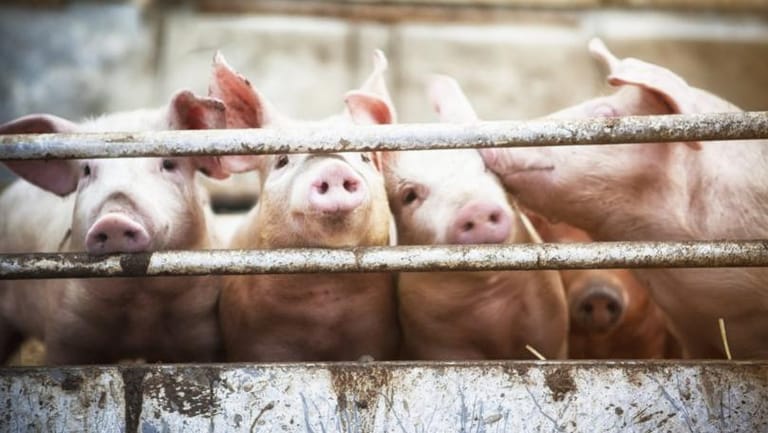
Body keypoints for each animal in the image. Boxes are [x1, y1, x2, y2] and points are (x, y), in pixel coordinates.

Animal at [0, 89, 231, 364]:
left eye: (168, 164)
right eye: (86, 170)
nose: (114, 220)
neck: (141, 303)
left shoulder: (201, 332)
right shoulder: (66, 329)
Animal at [381, 75, 568, 360]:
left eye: (486, 167)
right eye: (409, 195)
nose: (476, 209)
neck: (488, 302)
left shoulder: (551, 323)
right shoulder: (434, 338)